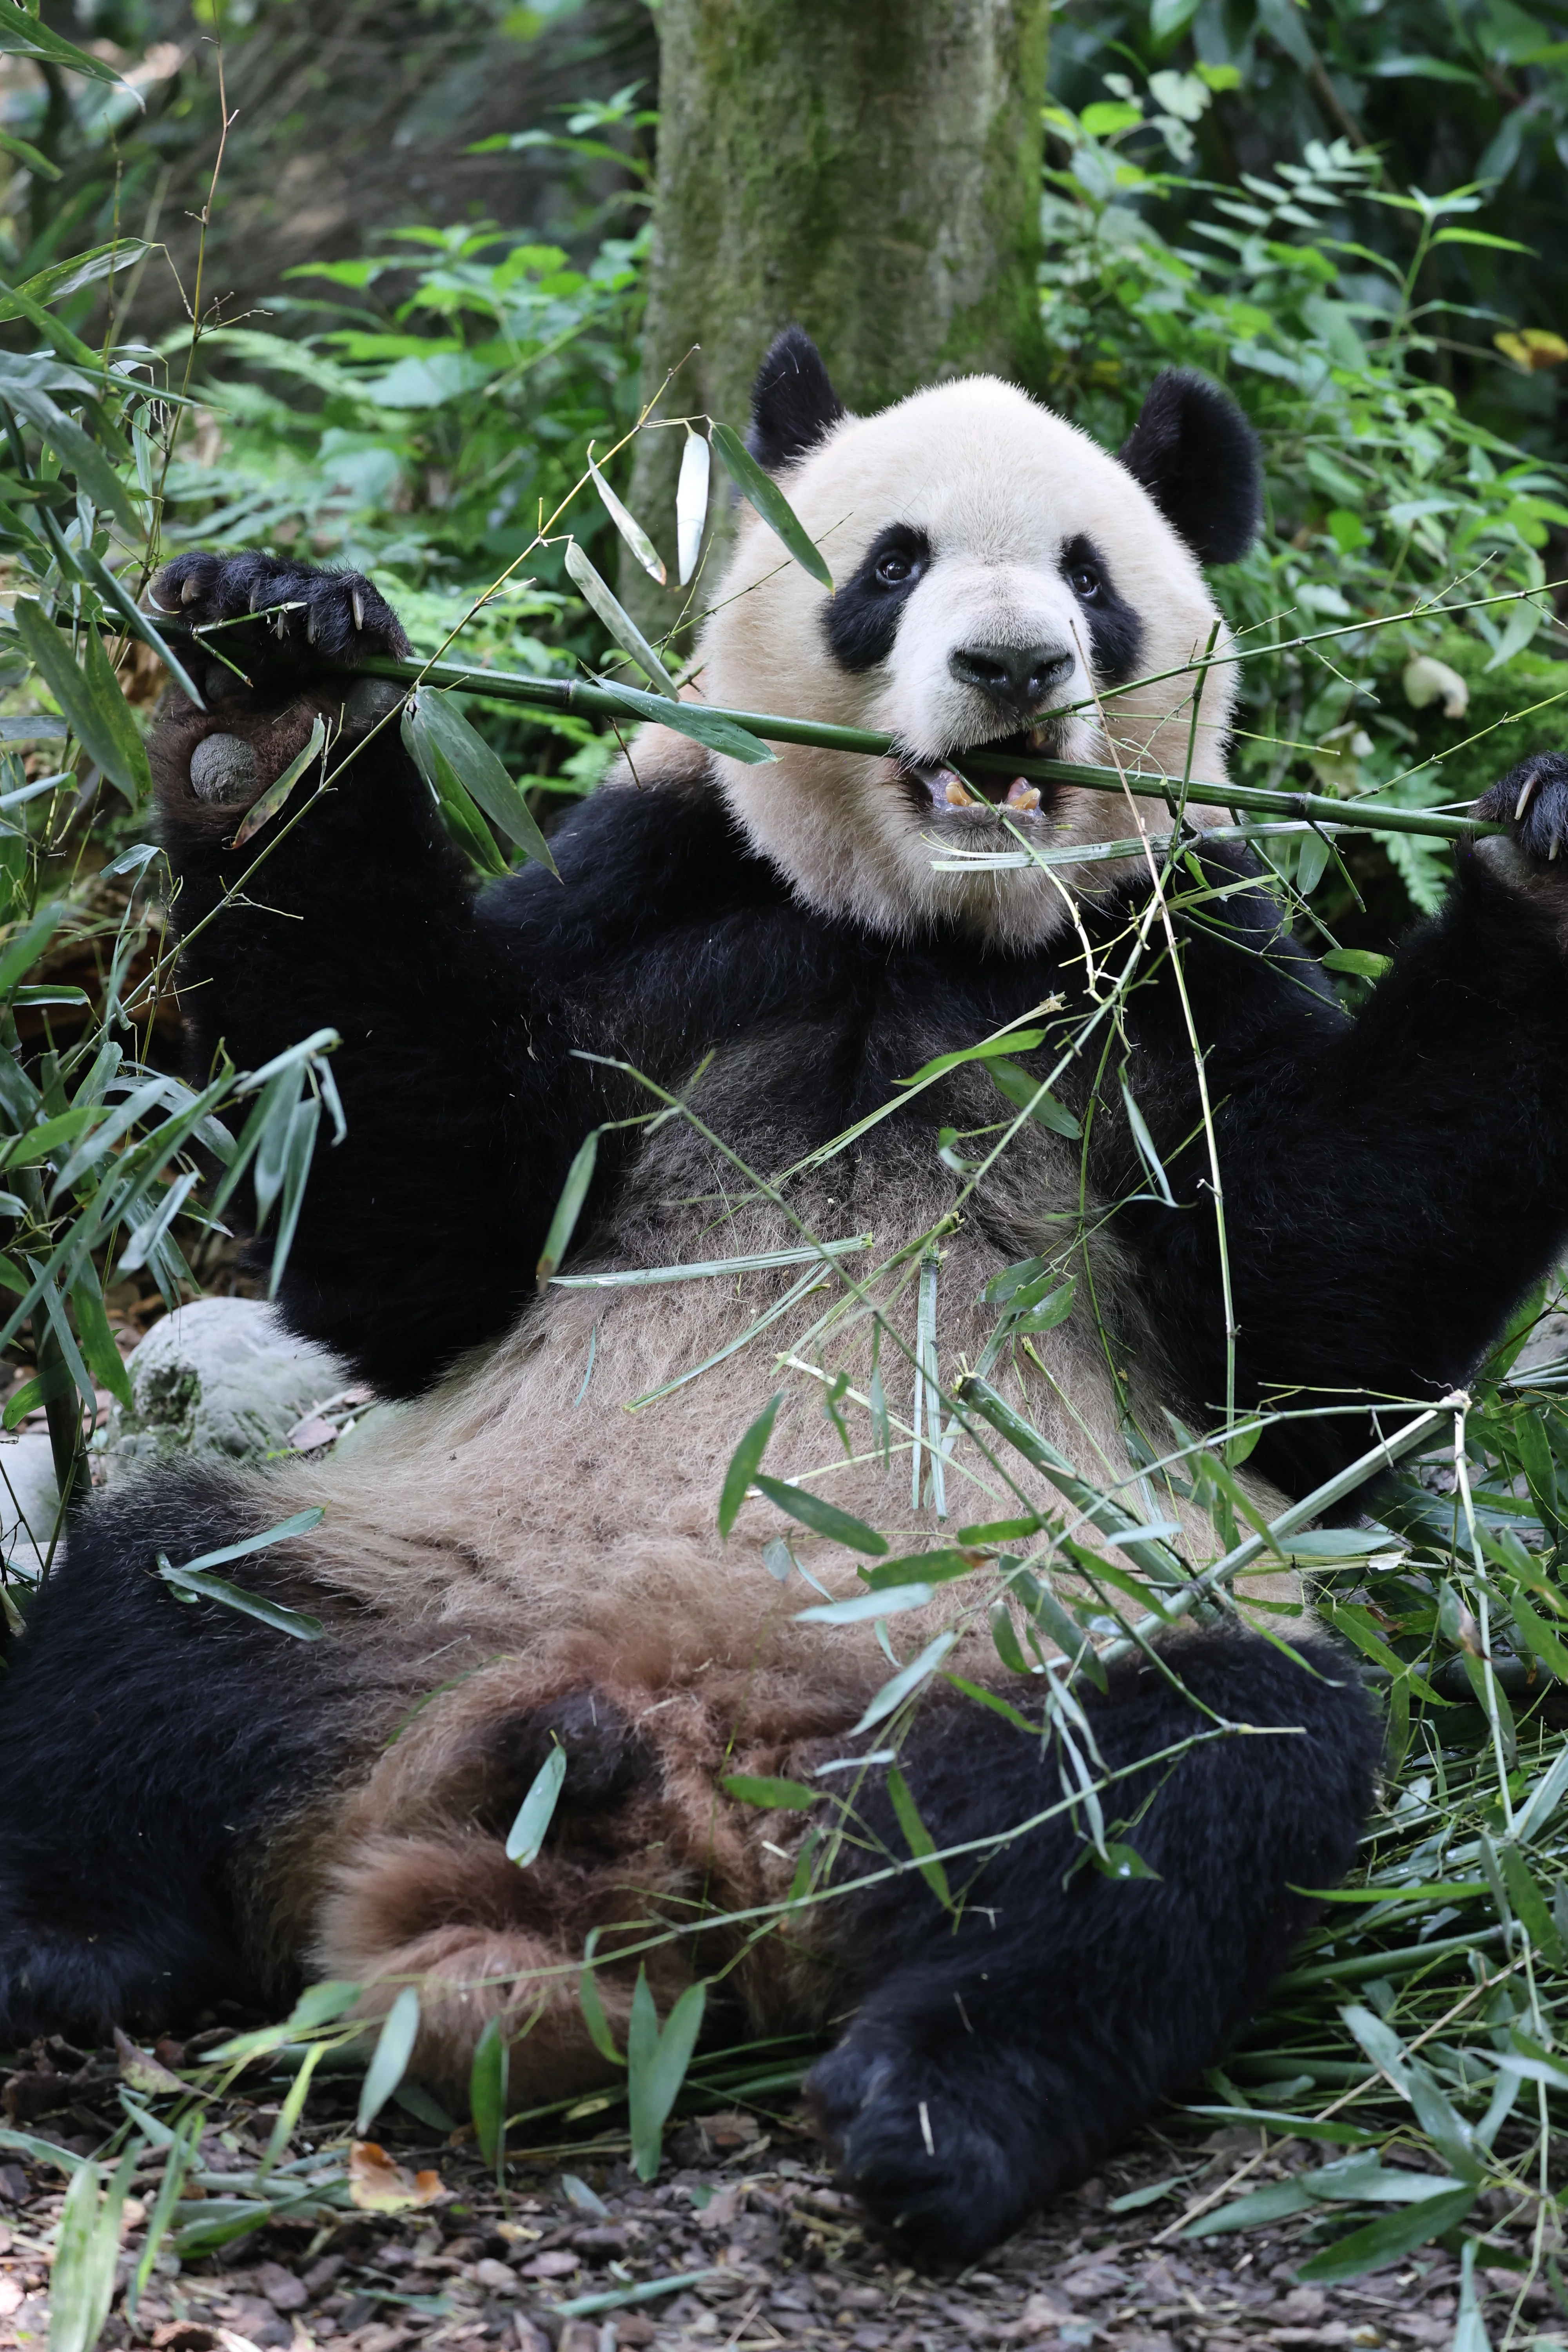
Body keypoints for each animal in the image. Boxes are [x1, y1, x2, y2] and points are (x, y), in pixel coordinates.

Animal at [2, 325, 1566, 2263]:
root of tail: (677, 1760)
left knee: (1182, 1790)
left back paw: (941, 2106)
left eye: (1087, 582)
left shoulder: (1167, 951)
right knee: (145, 1625)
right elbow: (423, 1209)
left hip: (1030, 1628)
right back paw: (58, 1946)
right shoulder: (661, 883)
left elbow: (1311, 1313)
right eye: (889, 565)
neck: (921, 926)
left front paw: (1547, 848)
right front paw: (273, 684)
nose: (1008, 668)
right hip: (388, 1565)